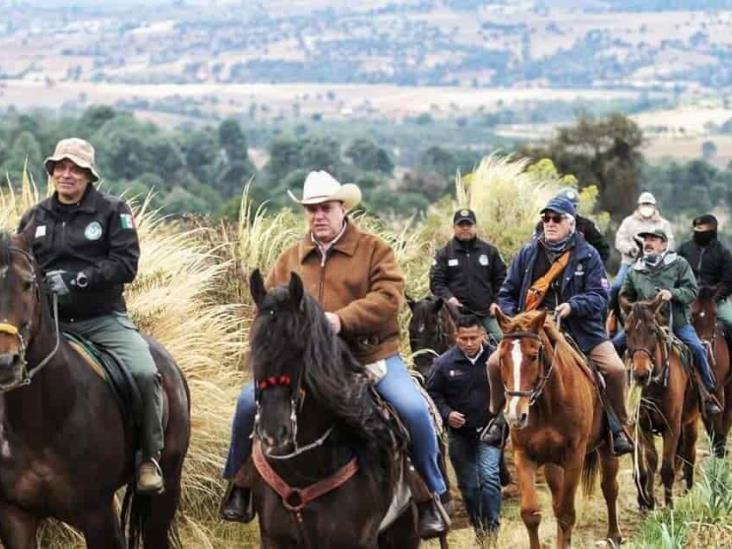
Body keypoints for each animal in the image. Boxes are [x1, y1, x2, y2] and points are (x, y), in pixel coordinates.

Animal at [0, 233, 190, 544]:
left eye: (28, 283)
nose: (6, 362)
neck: (41, 420)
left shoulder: (98, 514)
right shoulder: (16, 517)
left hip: (168, 487)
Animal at [494, 308, 620, 548]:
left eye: (534, 356)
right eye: (502, 357)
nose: (515, 415)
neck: (547, 404)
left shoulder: (574, 458)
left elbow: (566, 514)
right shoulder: (523, 456)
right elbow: (531, 514)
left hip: (606, 447)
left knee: (609, 488)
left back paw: (614, 536)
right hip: (553, 464)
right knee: (556, 500)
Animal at [620, 296, 700, 510]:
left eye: (652, 330)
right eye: (627, 331)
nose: (641, 374)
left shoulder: (672, 427)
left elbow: (667, 469)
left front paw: (670, 507)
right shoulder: (643, 427)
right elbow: (651, 462)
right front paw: (649, 501)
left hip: (691, 421)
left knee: (689, 452)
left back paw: (689, 490)